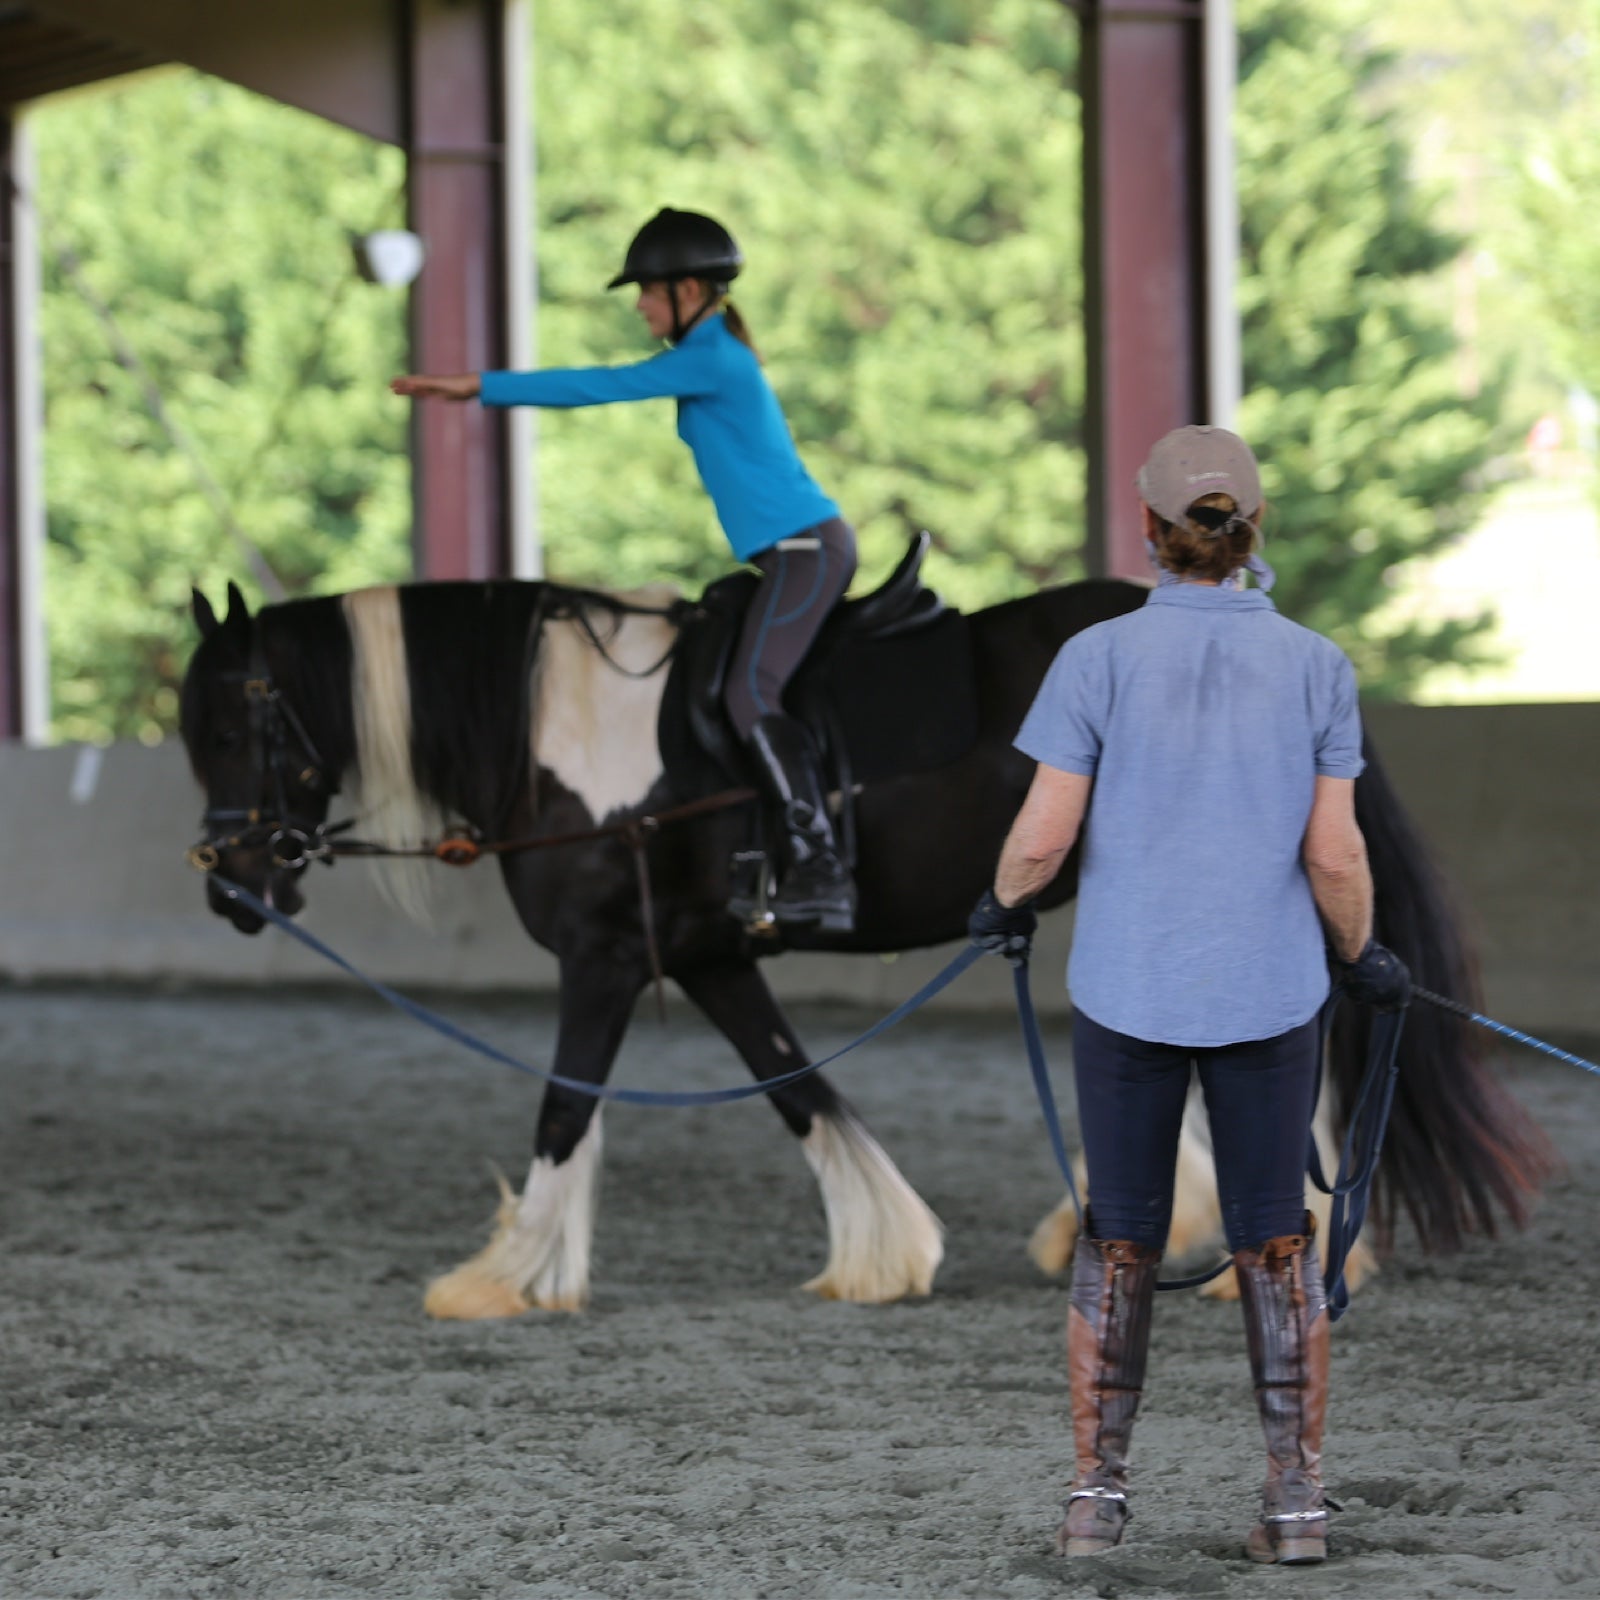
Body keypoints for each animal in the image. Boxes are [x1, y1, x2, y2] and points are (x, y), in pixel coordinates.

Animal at [181, 576, 1555, 1312]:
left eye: (234, 728)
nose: (231, 886)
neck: (566, 735)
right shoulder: (710, 956)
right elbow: (794, 1084)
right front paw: (883, 1248)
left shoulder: (605, 956)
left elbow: (566, 1102)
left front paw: (509, 1278)